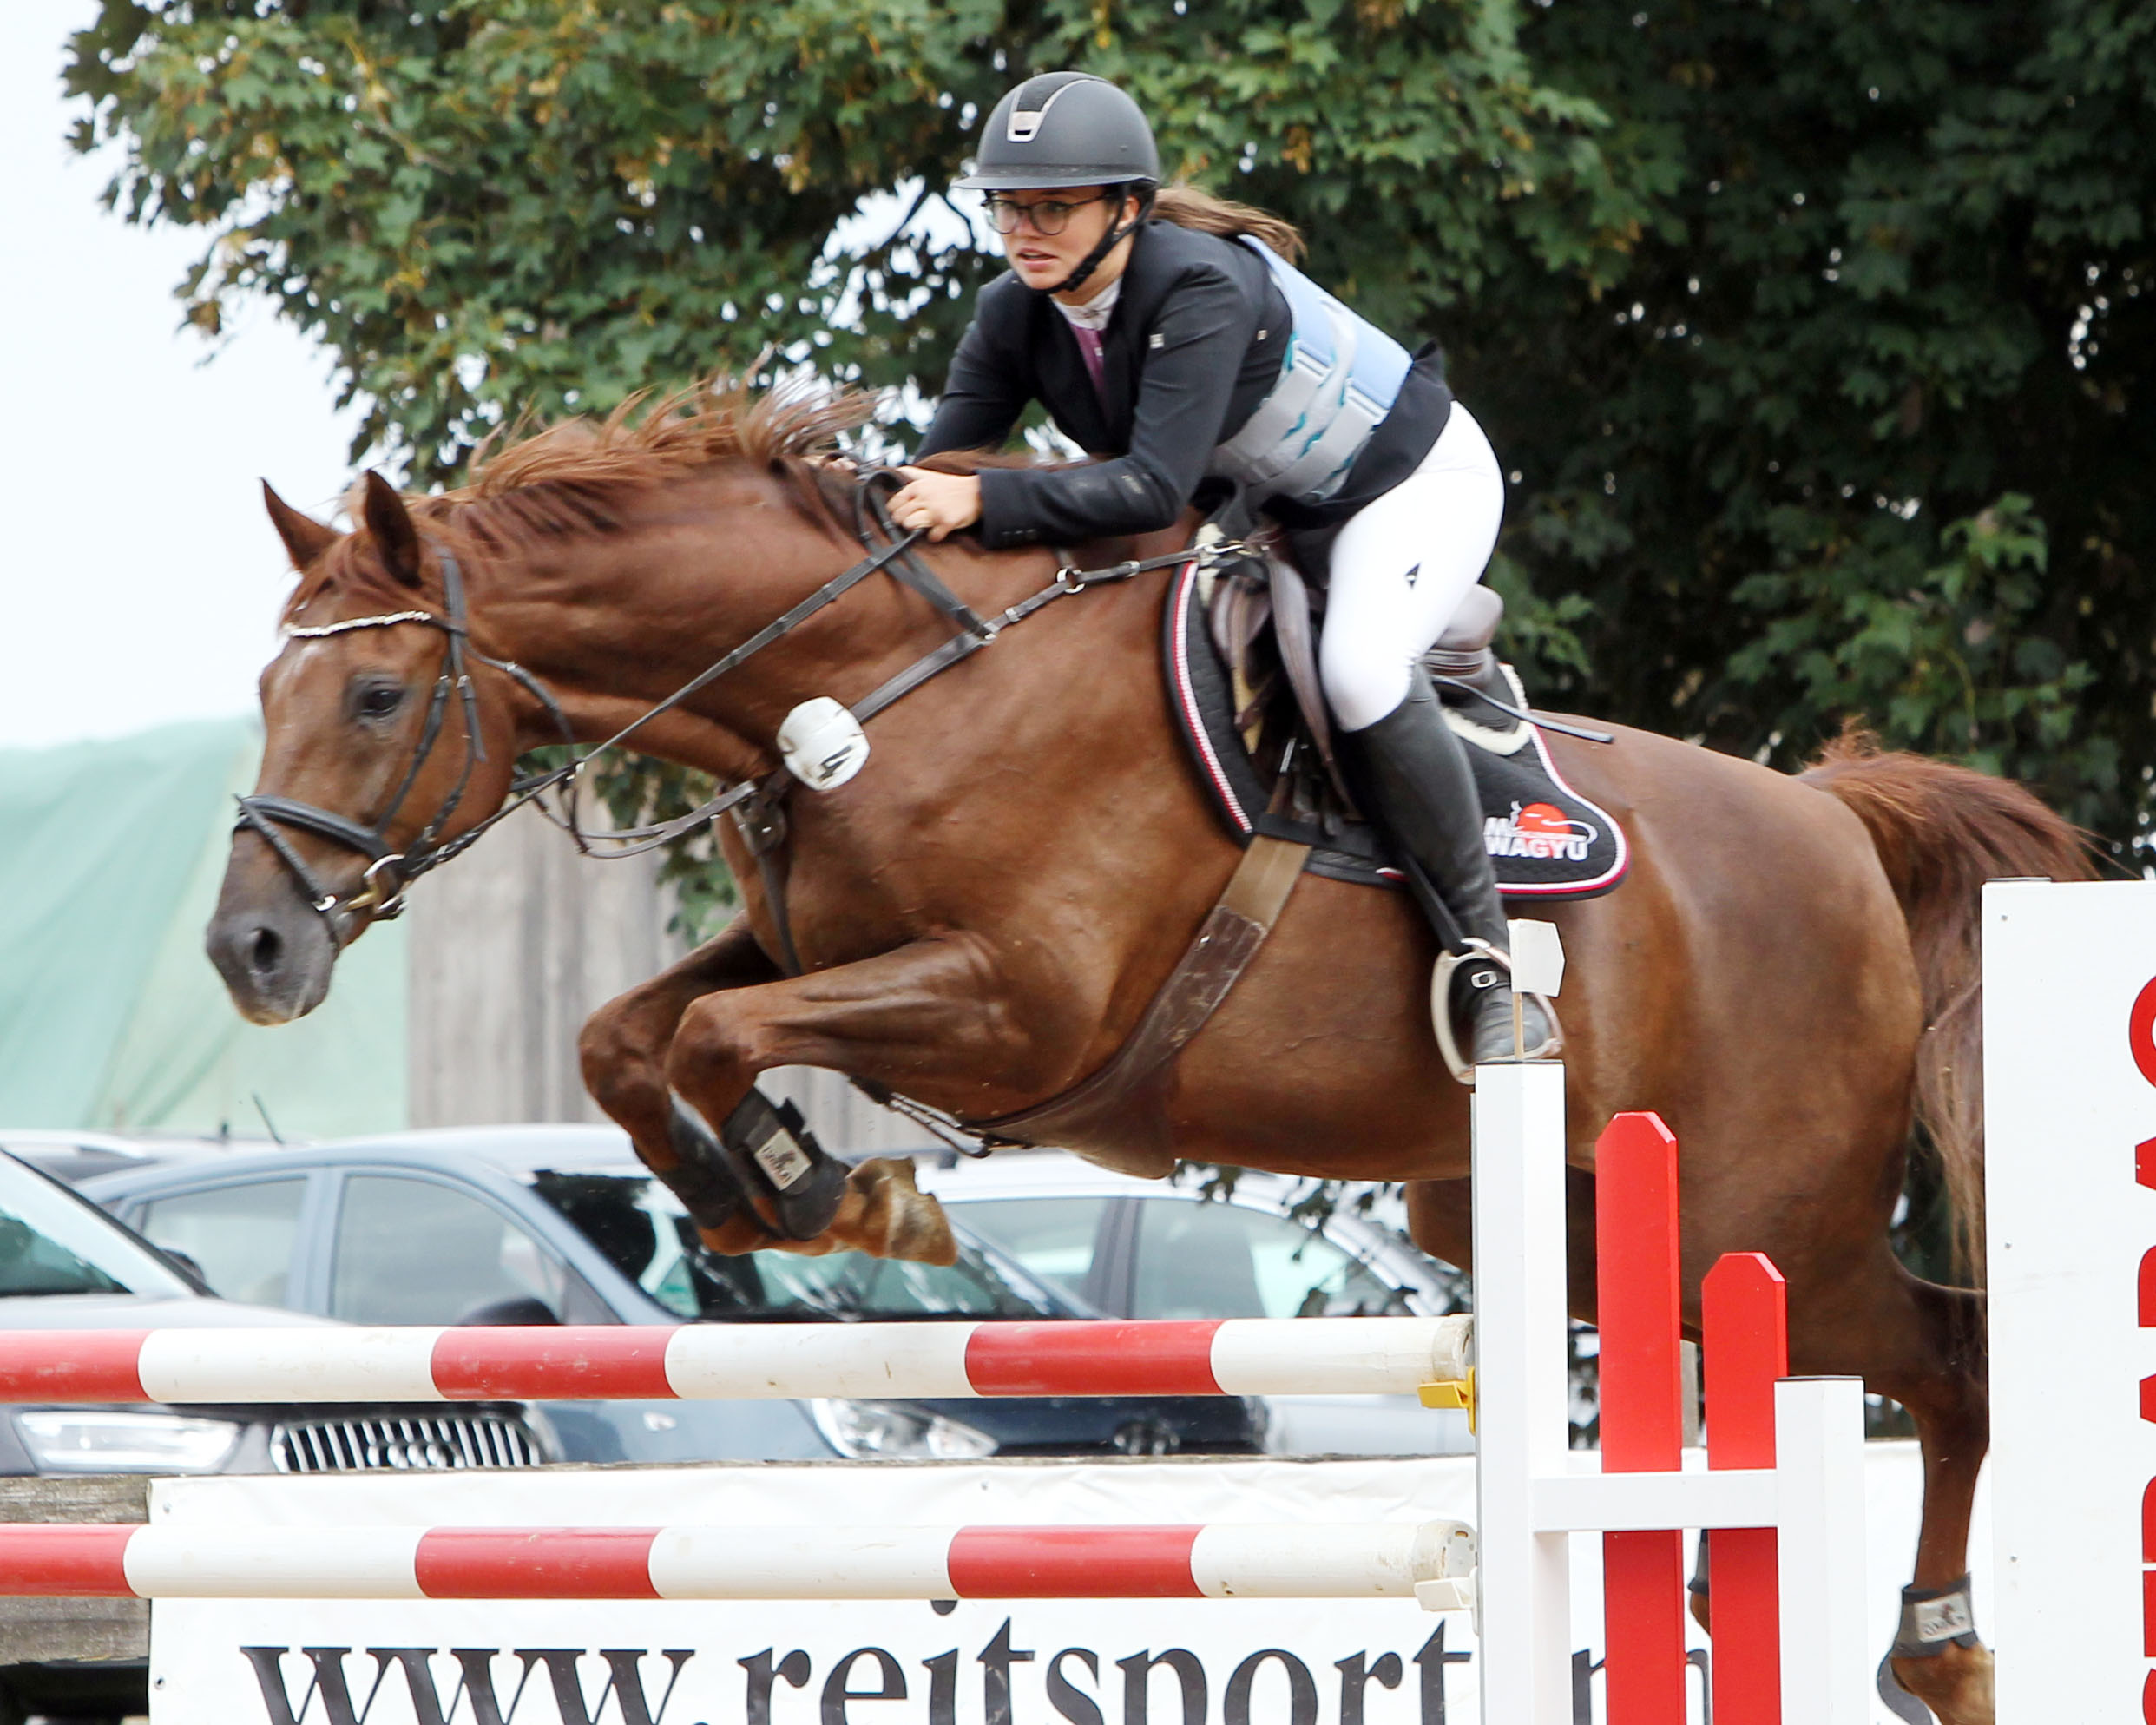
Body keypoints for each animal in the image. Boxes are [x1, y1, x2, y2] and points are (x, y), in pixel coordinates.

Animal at [210, 381, 2095, 1725]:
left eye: (374, 700)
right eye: (266, 694)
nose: (250, 949)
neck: (874, 678)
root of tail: (1835, 821)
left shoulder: (1018, 1004)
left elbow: (727, 1032)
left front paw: (835, 1196)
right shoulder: (827, 946)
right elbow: (631, 1033)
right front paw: (751, 1195)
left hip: (1759, 1231)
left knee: (1952, 1364)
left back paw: (1944, 1648)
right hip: (1542, 1226)